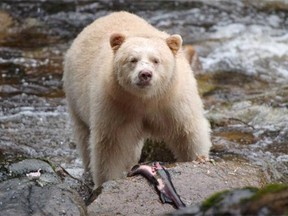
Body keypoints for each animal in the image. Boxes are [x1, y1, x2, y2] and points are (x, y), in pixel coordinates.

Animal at [63, 11, 212, 187]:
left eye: (156, 60)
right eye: (132, 60)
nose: (145, 74)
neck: (145, 99)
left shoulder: (173, 101)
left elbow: (187, 132)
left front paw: (198, 158)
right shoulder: (115, 103)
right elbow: (111, 145)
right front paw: (106, 181)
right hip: (75, 96)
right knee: (84, 137)